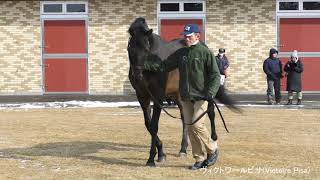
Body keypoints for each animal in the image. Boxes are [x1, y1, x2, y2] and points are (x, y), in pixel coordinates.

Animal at [127, 17, 238, 167]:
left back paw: (213, 139)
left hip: (206, 94)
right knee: (186, 120)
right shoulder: (142, 96)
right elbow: (149, 125)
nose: (137, 75)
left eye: (146, 49)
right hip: (180, 97)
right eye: (131, 48)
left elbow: (154, 125)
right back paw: (183, 149)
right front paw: (160, 153)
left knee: (211, 113)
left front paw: (153, 158)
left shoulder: (158, 96)